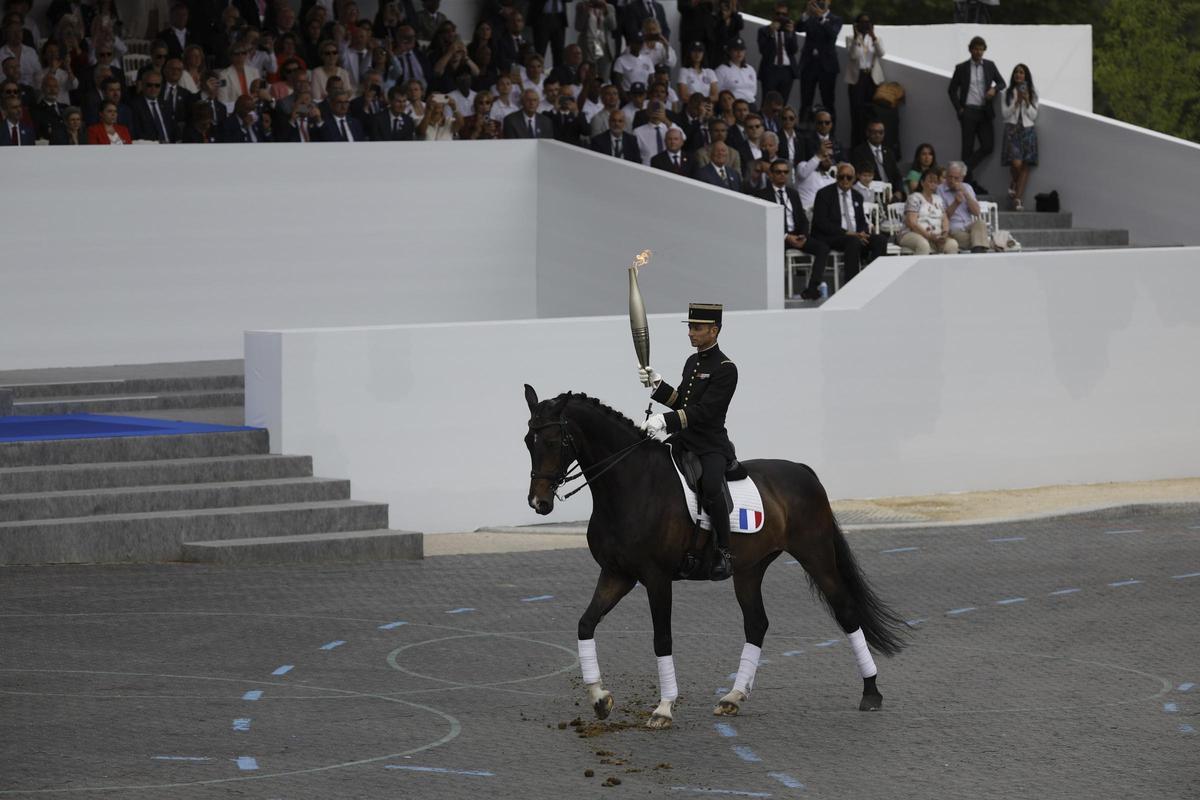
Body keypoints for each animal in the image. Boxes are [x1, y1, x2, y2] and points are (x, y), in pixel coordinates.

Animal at [520, 383, 902, 729]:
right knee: (757, 624)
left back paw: (871, 692)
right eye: (528, 442)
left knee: (846, 611)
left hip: (816, 554)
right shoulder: (617, 574)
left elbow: (662, 638)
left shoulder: (656, 578)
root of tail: (801, 469)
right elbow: (586, 624)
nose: (539, 502)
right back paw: (734, 697)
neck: (631, 484)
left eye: (554, 442)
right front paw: (600, 700)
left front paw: (663, 709)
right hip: (749, 569)